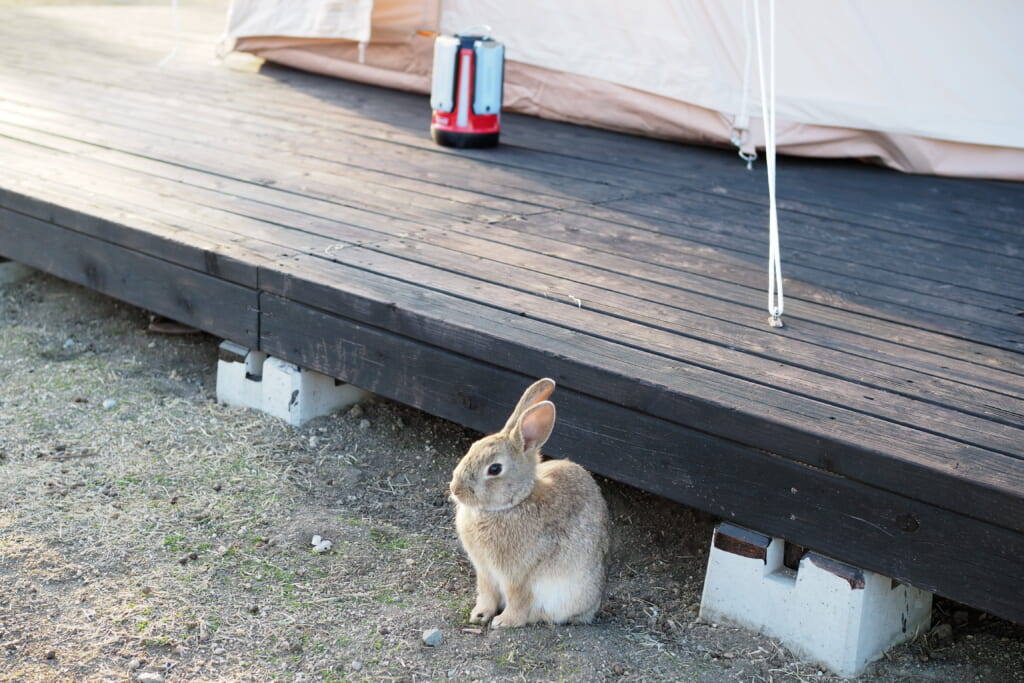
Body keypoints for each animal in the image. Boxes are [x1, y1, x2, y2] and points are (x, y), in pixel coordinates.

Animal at [448, 376, 606, 626]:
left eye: (495, 469)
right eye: (472, 448)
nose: (456, 490)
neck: (512, 504)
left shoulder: (518, 575)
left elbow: (518, 599)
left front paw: (503, 622)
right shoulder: (485, 571)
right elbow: (487, 593)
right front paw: (479, 615)